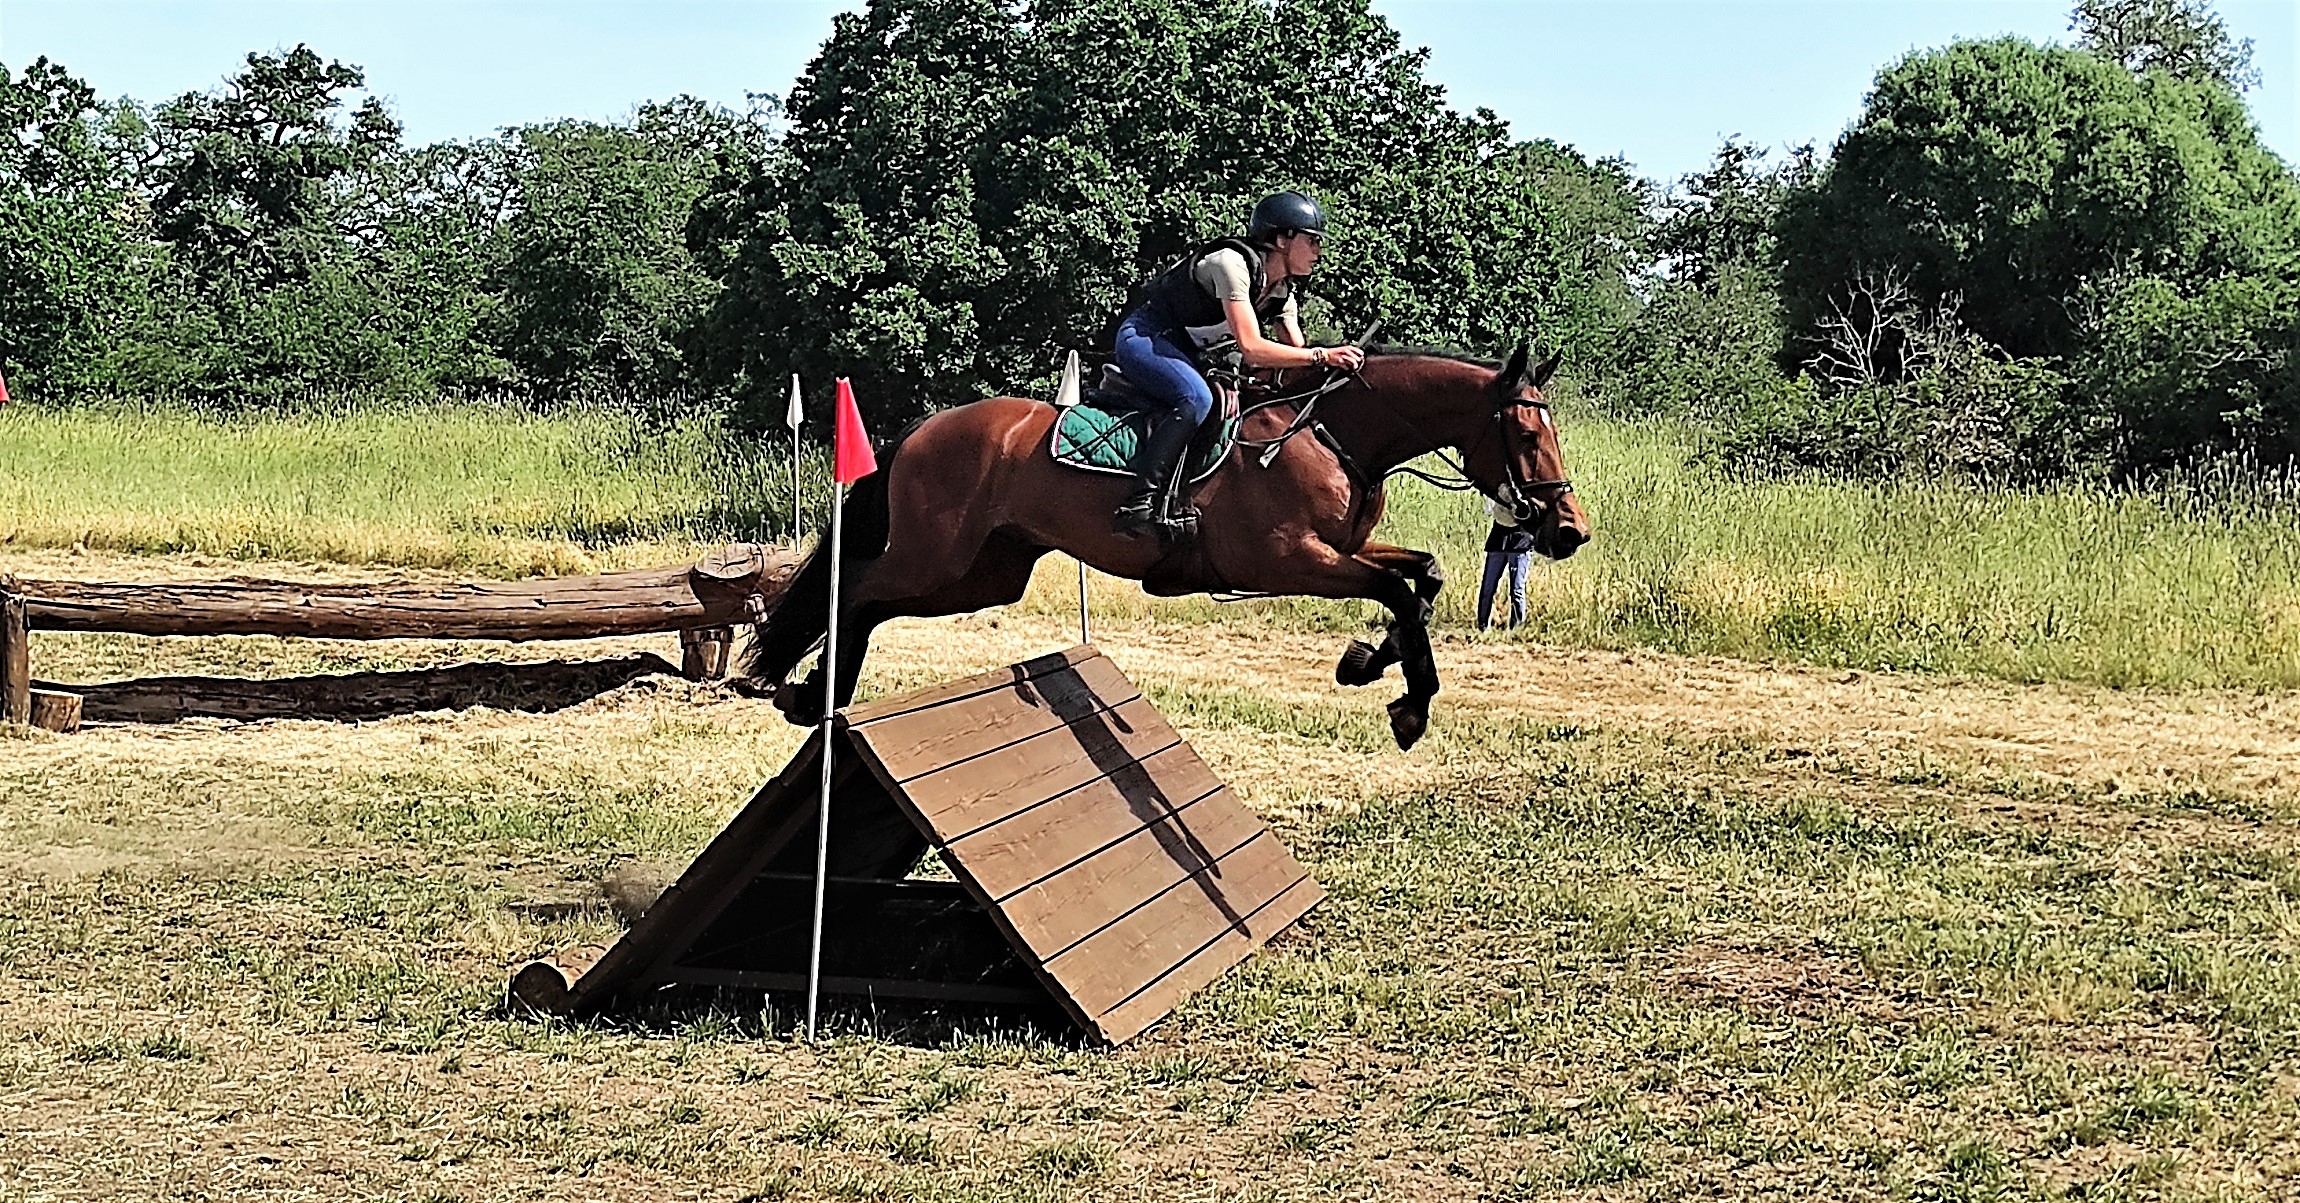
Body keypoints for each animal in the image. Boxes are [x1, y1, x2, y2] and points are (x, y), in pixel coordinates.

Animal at [739, 342, 1591, 751]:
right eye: (1525, 434)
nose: (1569, 530)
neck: (1334, 435)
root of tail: (922, 428)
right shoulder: (1291, 560)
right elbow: (1397, 594)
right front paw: (1408, 704)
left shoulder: (1347, 550)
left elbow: (1424, 578)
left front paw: (1368, 665)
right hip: (937, 555)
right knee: (856, 588)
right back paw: (813, 693)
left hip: (983, 573)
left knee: (872, 601)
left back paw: (813, 696)